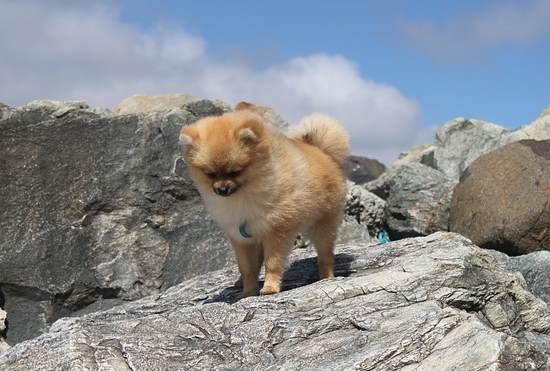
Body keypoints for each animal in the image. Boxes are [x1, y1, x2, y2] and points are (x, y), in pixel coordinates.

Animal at [179, 106, 352, 298]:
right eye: (210, 174)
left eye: (235, 171)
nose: (222, 190)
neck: (244, 195)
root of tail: (321, 151)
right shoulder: (241, 237)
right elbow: (247, 268)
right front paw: (248, 292)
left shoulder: (276, 231)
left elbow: (273, 263)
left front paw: (270, 288)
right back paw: (239, 283)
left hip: (323, 223)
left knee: (325, 254)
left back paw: (327, 277)